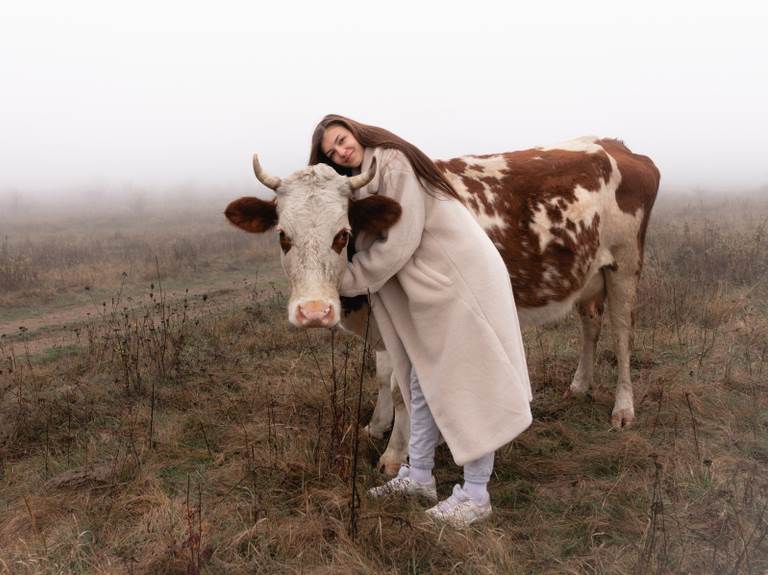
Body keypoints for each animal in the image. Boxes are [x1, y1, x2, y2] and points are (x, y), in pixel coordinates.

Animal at [224, 137, 660, 474]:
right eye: (283, 236)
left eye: (342, 234)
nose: (314, 312)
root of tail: (615, 146)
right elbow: (382, 376)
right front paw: (376, 426)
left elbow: (400, 388)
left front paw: (396, 454)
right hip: (590, 275)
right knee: (591, 323)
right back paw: (579, 385)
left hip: (624, 265)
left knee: (622, 334)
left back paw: (623, 409)